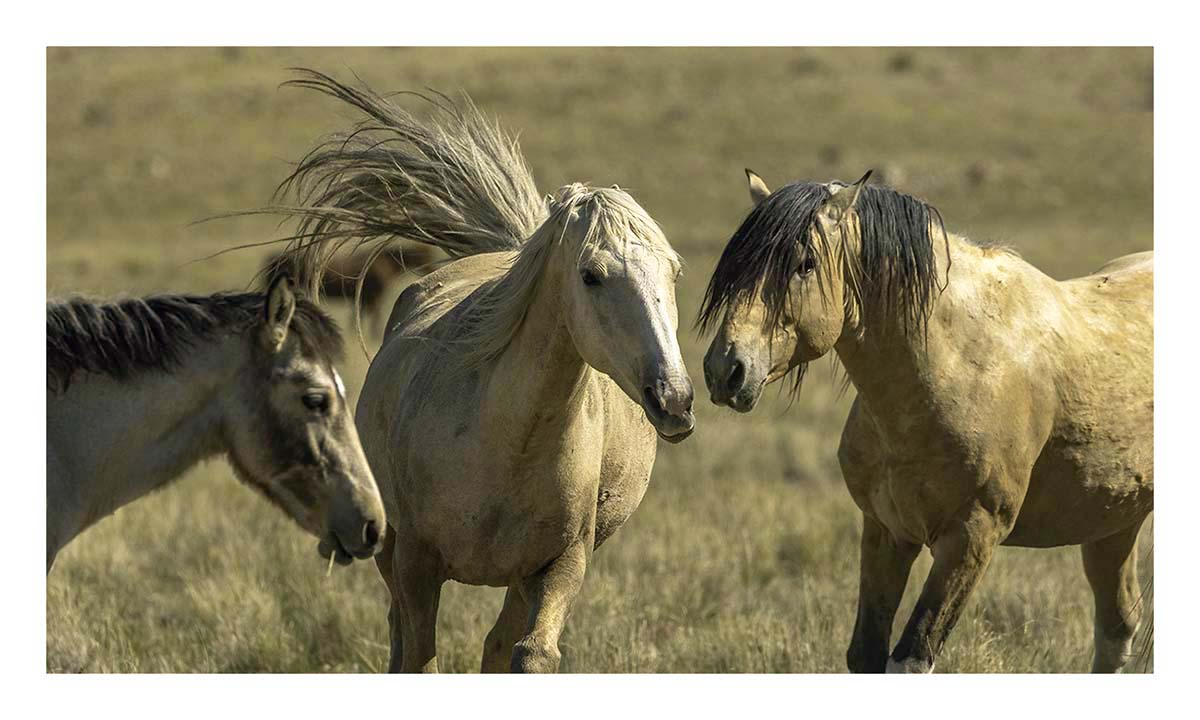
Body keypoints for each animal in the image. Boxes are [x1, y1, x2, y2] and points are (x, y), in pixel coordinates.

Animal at [261, 242, 441, 336]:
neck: (386, 263)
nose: (433, 268)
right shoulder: (372, 298)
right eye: (425, 256)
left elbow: (359, 317)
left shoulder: (366, 299)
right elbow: (371, 318)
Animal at [699, 169, 1152, 673]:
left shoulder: (970, 540)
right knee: (1117, 630)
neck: (954, 365)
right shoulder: (886, 531)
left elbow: (912, 655)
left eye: (805, 264)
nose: (725, 369)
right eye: (739, 265)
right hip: (1113, 524)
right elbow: (866, 654)